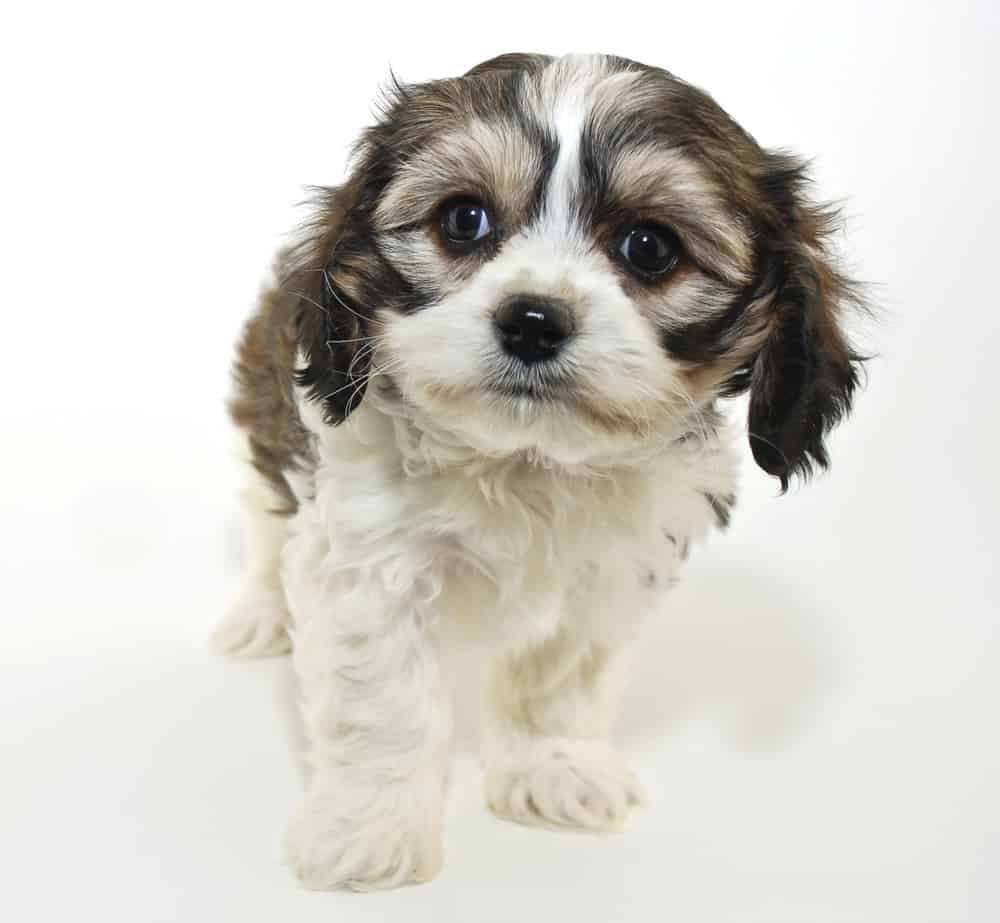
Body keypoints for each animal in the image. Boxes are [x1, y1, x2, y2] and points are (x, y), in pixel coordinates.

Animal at [215, 52, 864, 896]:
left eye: (650, 246)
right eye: (464, 220)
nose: (531, 319)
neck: (527, 458)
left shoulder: (607, 573)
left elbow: (560, 680)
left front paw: (552, 768)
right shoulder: (369, 562)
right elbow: (383, 701)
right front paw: (370, 827)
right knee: (267, 519)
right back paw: (260, 613)